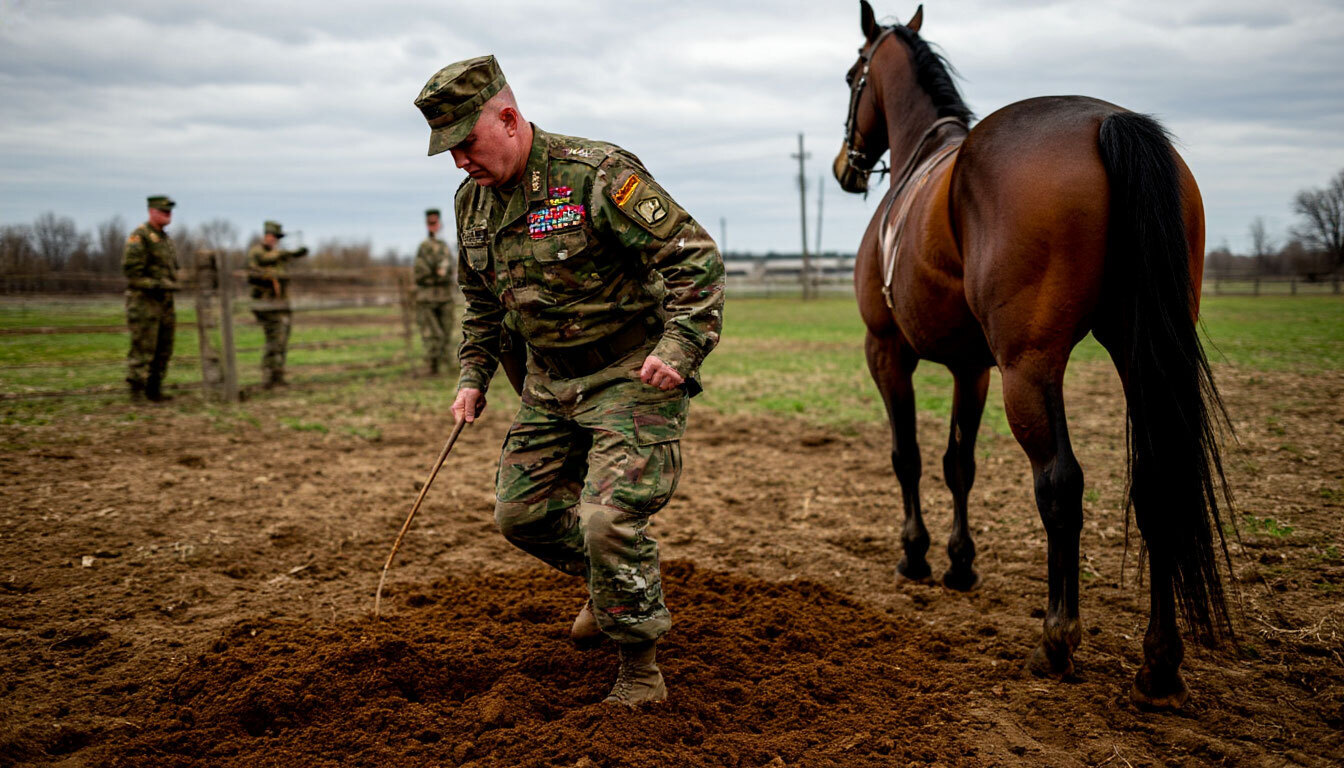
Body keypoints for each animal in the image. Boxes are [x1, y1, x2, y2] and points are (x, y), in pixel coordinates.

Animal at [832, 1, 1233, 708]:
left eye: (853, 76)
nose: (844, 166)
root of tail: (1107, 121)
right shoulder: (972, 367)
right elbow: (958, 463)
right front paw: (960, 564)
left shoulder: (888, 353)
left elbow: (909, 458)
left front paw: (917, 554)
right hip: (1141, 354)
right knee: (1156, 481)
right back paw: (1159, 664)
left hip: (1030, 365)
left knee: (1060, 483)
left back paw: (1057, 638)